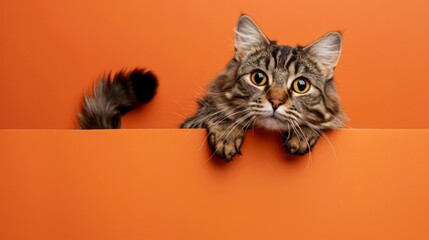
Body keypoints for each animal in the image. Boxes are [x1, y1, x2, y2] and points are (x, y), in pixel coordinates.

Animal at [77, 14, 344, 161]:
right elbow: (218, 116)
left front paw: (303, 133)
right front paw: (227, 135)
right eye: (258, 78)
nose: (276, 102)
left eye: (301, 85)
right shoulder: (191, 123)